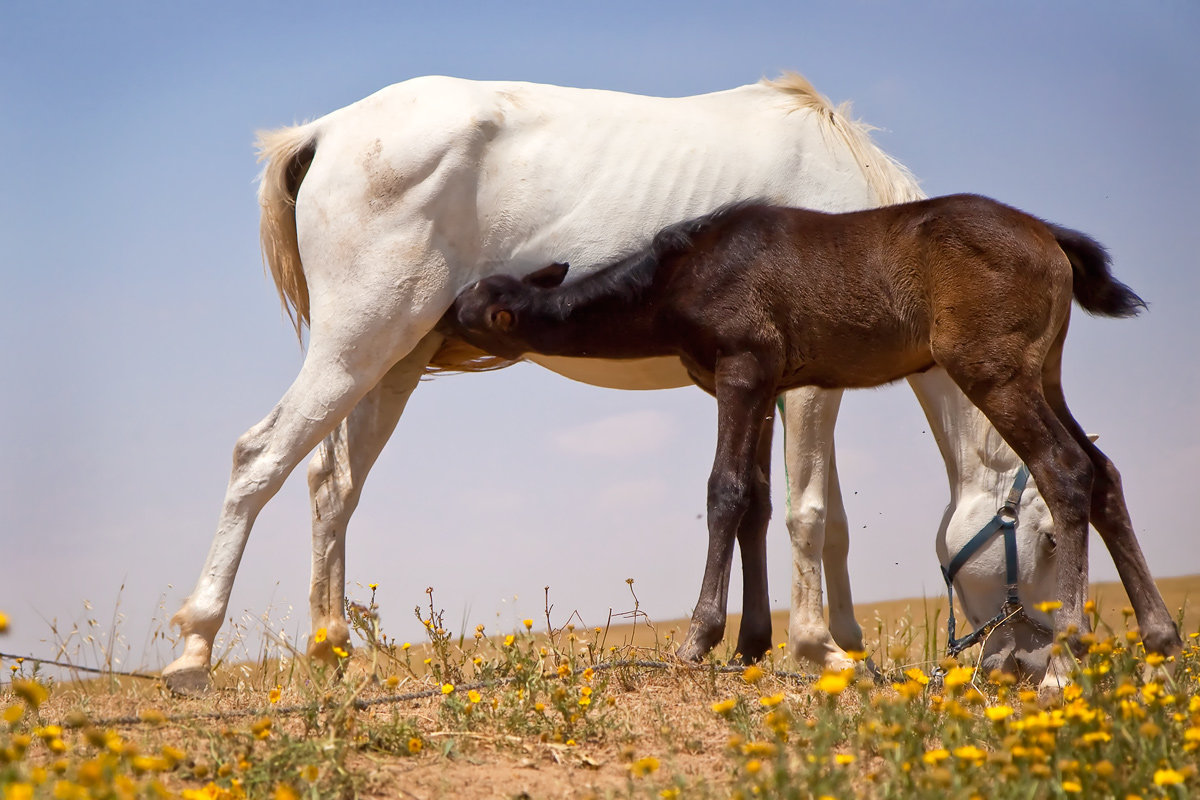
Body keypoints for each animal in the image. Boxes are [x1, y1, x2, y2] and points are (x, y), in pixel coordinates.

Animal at [159, 71, 1171, 690]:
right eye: (1040, 539)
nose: (1021, 660)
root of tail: (325, 132)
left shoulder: (775, 382)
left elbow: (796, 511)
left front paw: (826, 642)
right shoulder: (806, 385)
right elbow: (808, 512)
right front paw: (818, 650)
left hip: (391, 361)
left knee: (331, 484)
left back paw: (333, 649)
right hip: (358, 344)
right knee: (260, 459)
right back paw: (194, 648)